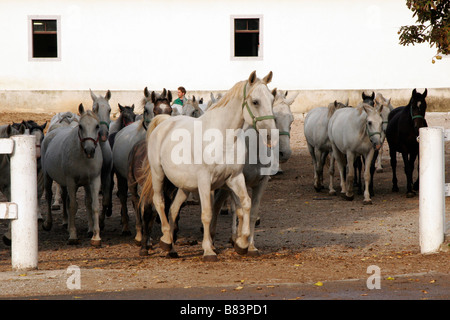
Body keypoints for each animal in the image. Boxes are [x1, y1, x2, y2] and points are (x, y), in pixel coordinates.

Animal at [40, 104, 103, 246]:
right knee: (49, 196)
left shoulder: (94, 180)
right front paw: (73, 235)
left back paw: (66, 223)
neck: (83, 157)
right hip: (48, 177)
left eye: (97, 126)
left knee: (66, 198)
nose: (90, 150)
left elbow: (93, 205)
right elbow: (73, 206)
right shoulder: (71, 181)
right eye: (81, 126)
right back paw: (48, 223)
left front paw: (95, 235)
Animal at [141, 71, 276, 262]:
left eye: (272, 100)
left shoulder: (235, 178)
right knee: (159, 202)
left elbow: (246, 205)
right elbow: (207, 214)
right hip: (158, 173)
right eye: (255, 101)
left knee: (173, 209)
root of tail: (164, 122)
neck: (223, 138)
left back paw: (171, 248)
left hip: (185, 186)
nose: (271, 135)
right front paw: (208, 250)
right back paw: (166, 239)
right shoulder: (205, 181)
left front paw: (242, 244)